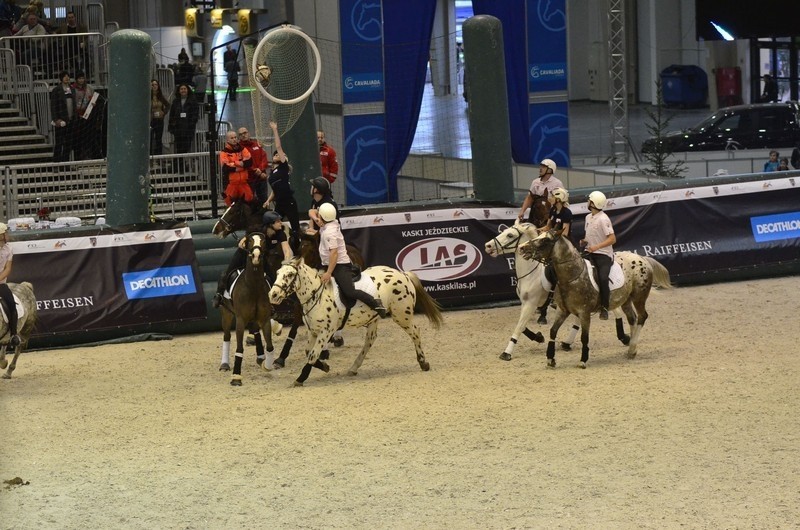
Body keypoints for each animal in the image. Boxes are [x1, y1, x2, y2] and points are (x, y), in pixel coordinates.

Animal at [219, 231, 276, 384]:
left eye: (263, 241)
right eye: (249, 241)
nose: (256, 256)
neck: (253, 286)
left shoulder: (264, 319)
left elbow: (270, 345)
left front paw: (267, 365)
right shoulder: (240, 320)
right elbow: (239, 349)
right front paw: (236, 377)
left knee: (255, 331)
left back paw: (261, 357)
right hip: (227, 314)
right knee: (227, 336)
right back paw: (224, 364)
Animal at [268, 256, 444, 384]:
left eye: (290, 275)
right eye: (277, 273)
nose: (273, 295)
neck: (317, 296)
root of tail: (404, 275)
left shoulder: (326, 331)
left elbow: (312, 355)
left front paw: (300, 379)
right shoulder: (314, 331)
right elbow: (308, 353)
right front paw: (324, 366)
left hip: (402, 315)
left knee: (415, 332)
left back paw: (423, 362)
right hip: (374, 319)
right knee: (370, 341)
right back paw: (353, 368)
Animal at [484, 221, 628, 360]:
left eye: (510, 235)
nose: (488, 246)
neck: (531, 274)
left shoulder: (531, 303)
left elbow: (519, 327)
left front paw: (506, 353)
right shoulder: (525, 303)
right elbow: (522, 326)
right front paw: (538, 337)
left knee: (615, 310)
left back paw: (623, 337)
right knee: (580, 320)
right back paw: (567, 343)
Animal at [520, 229, 672, 370]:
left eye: (545, 240)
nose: (522, 247)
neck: (572, 277)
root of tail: (642, 258)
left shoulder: (584, 313)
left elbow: (584, 337)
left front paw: (583, 360)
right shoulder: (563, 311)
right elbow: (553, 331)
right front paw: (551, 359)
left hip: (639, 297)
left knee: (642, 317)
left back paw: (632, 346)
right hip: (626, 300)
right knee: (632, 319)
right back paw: (631, 350)